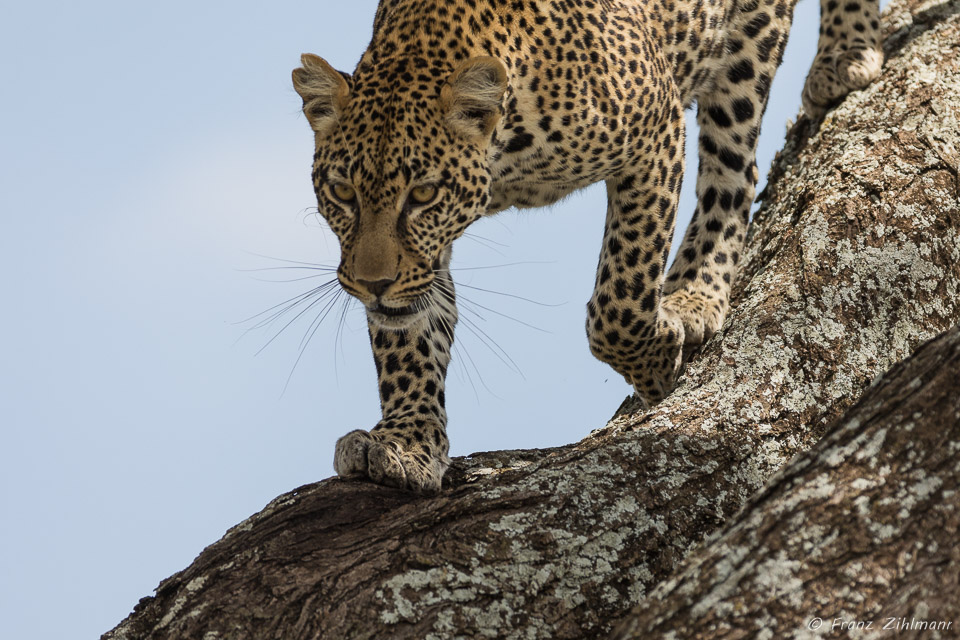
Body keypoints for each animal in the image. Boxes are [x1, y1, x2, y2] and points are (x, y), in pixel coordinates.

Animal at [288, 0, 880, 492]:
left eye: (424, 194)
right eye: (342, 192)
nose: (373, 285)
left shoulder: (655, 129)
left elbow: (622, 294)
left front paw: (658, 363)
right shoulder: (424, 264)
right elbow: (410, 340)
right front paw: (405, 443)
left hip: (743, 52)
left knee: (735, 168)